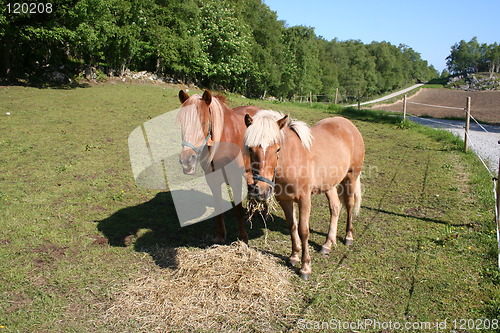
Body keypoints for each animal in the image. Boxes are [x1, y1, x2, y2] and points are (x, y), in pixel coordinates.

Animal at [177, 89, 262, 243]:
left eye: (203, 122)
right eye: (181, 122)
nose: (187, 160)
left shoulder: (235, 178)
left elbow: (238, 210)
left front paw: (243, 238)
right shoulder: (213, 180)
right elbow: (218, 207)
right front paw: (220, 235)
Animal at [244, 110, 366, 278]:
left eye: (277, 149)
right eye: (250, 148)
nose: (261, 189)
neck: (292, 159)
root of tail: (349, 125)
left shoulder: (304, 200)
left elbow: (303, 230)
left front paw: (305, 267)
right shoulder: (284, 200)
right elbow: (292, 225)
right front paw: (294, 256)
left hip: (351, 178)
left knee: (349, 205)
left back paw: (348, 236)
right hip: (329, 184)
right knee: (335, 207)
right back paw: (328, 243)